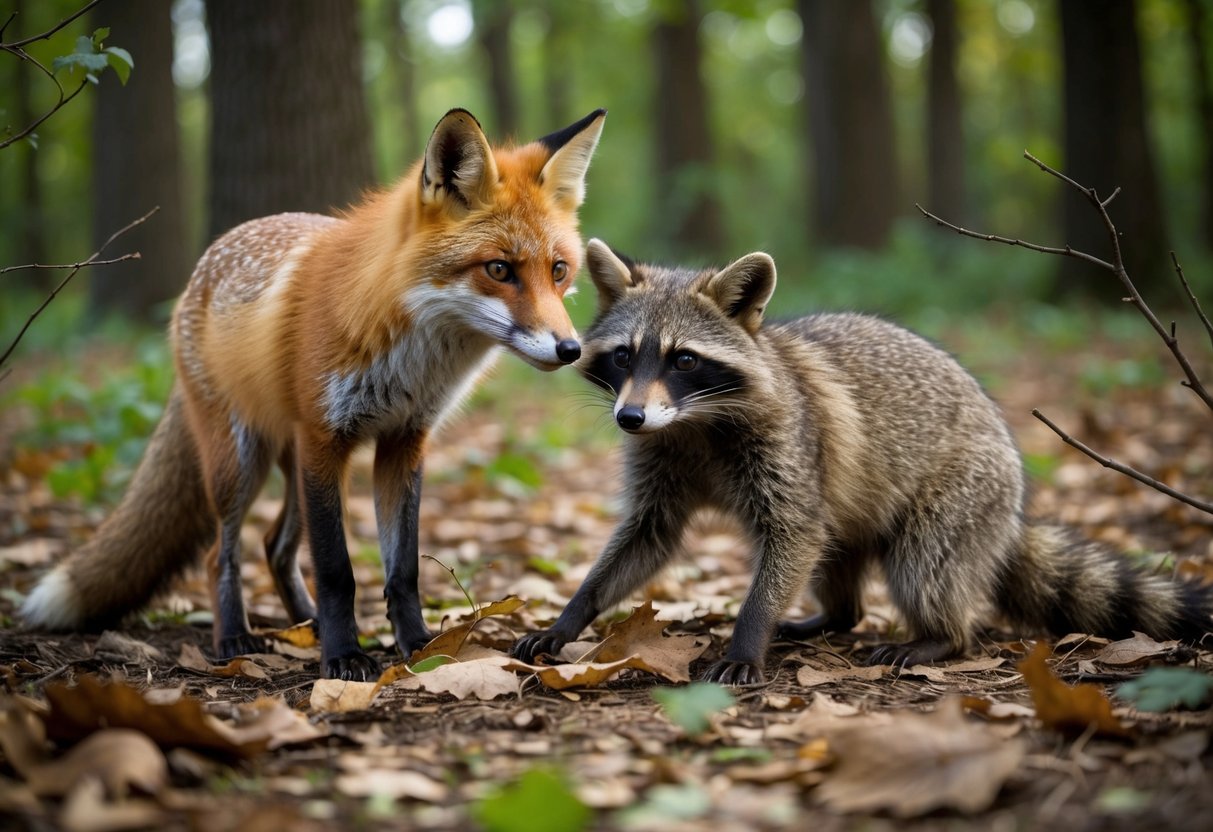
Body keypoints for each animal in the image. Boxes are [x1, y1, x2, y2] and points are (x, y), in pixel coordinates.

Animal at [21, 108, 606, 681]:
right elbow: (336, 569)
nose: (570, 349)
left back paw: (306, 625)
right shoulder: (325, 438)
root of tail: (200, 271)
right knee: (222, 553)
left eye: (559, 270)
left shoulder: (403, 441)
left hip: (300, 467)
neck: (412, 357)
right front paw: (342, 657)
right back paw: (236, 638)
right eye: (499, 269)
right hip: (244, 463)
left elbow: (403, 570)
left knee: (275, 547)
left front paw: (417, 647)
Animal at [512, 240, 1213, 685]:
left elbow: (793, 533)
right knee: (836, 555)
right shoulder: (663, 456)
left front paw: (749, 632)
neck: (693, 423)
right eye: (626, 356)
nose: (629, 418)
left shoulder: (788, 442)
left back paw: (941, 635)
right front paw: (573, 612)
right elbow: (646, 537)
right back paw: (833, 615)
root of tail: (1012, 511)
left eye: (684, 359)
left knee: (923, 563)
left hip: (964, 490)